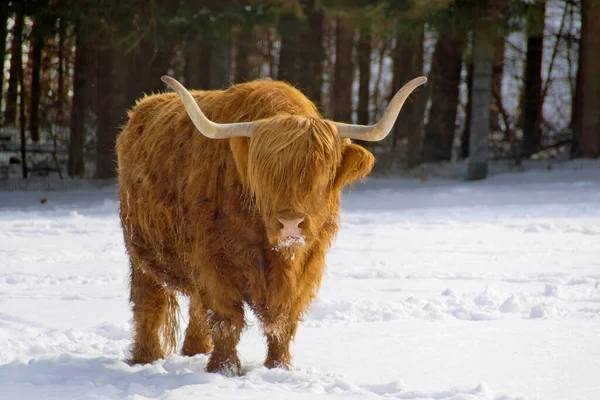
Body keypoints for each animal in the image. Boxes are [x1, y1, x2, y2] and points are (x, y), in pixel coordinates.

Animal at [116, 74, 426, 376]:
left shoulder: (308, 263)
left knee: (195, 305)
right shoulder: (213, 260)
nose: (290, 223)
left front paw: (280, 367)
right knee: (149, 303)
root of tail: (140, 109)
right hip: (140, 251)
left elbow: (284, 322)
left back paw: (195, 351)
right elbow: (226, 319)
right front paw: (224, 370)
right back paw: (145, 358)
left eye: (321, 173)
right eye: (264, 174)